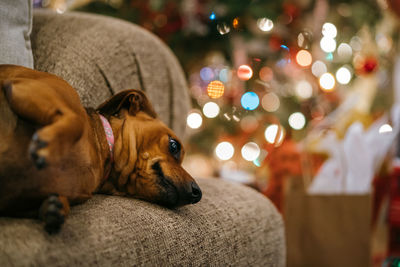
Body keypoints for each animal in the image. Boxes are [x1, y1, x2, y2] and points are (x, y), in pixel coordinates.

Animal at [0, 65, 202, 234]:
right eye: (174, 145)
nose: (198, 193)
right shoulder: (25, 87)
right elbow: (77, 120)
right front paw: (48, 145)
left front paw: (55, 207)